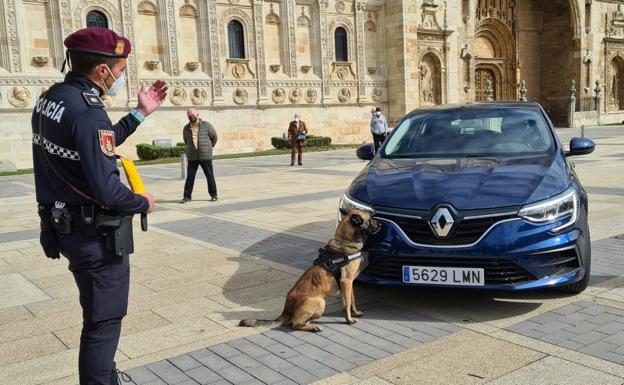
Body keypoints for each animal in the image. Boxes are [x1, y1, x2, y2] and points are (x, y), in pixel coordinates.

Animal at [238, 208, 380, 332]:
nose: (381, 224)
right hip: (320, 301)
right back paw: (312, 327)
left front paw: (355, 312)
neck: (345, 242)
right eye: (371, 219)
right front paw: (349, 319)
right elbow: (347, 304)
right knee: (295, 325)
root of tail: (286, 310)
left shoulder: (350, 283)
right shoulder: (346, 282)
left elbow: (352, 300)